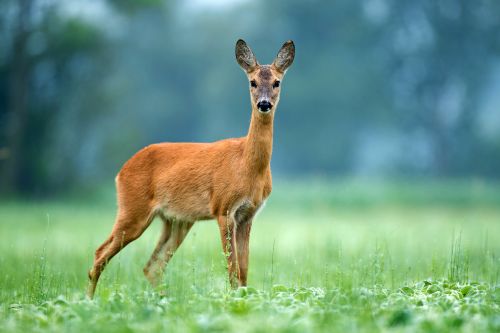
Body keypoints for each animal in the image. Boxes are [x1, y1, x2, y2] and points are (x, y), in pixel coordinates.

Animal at [88, 39, 294, 298]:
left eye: (277, 82)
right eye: (252, 82)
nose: (264, 104)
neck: (247, 167)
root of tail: (121, 171)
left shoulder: (248, 215)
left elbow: (244, 271)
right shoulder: (223, 208)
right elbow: (232, 269)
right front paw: (233, 300)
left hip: (176, 221)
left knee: (151, 266)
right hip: (133, 209)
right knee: (100, 254)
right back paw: (89, 301)